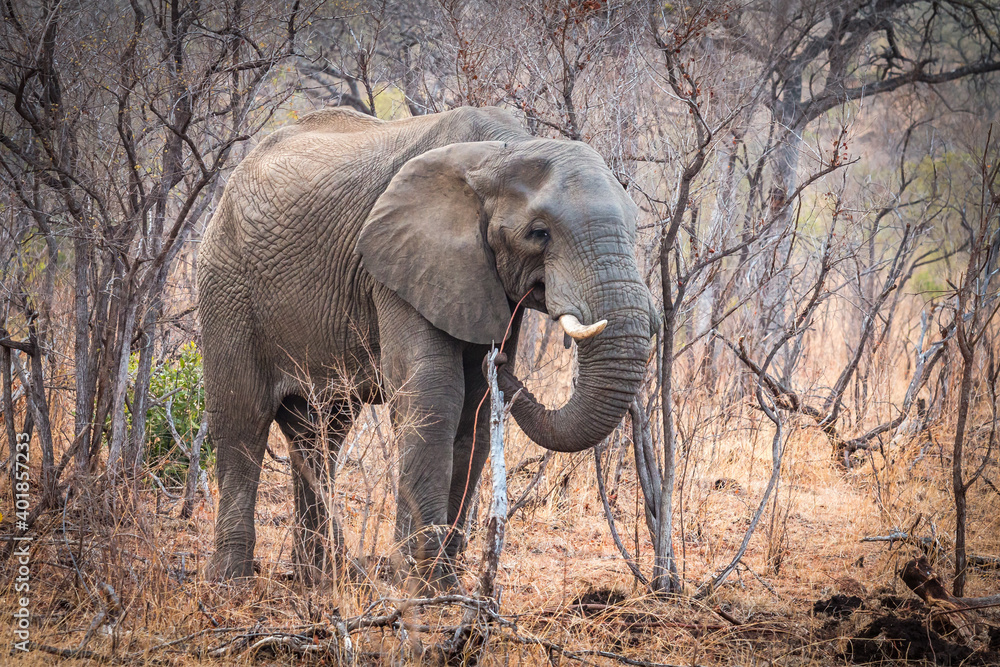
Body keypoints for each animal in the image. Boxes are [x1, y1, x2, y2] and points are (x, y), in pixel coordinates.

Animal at [197, 105, 659, 588]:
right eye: (539, 233)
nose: (503, 365)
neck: (503, 150)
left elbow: (475, 408)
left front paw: (445, 584)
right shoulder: (399, 263)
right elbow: (436, 393)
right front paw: (419, 583)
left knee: (321, 432)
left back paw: (321, 579)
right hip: (226, 282)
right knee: (242, 420)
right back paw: (232, 583)